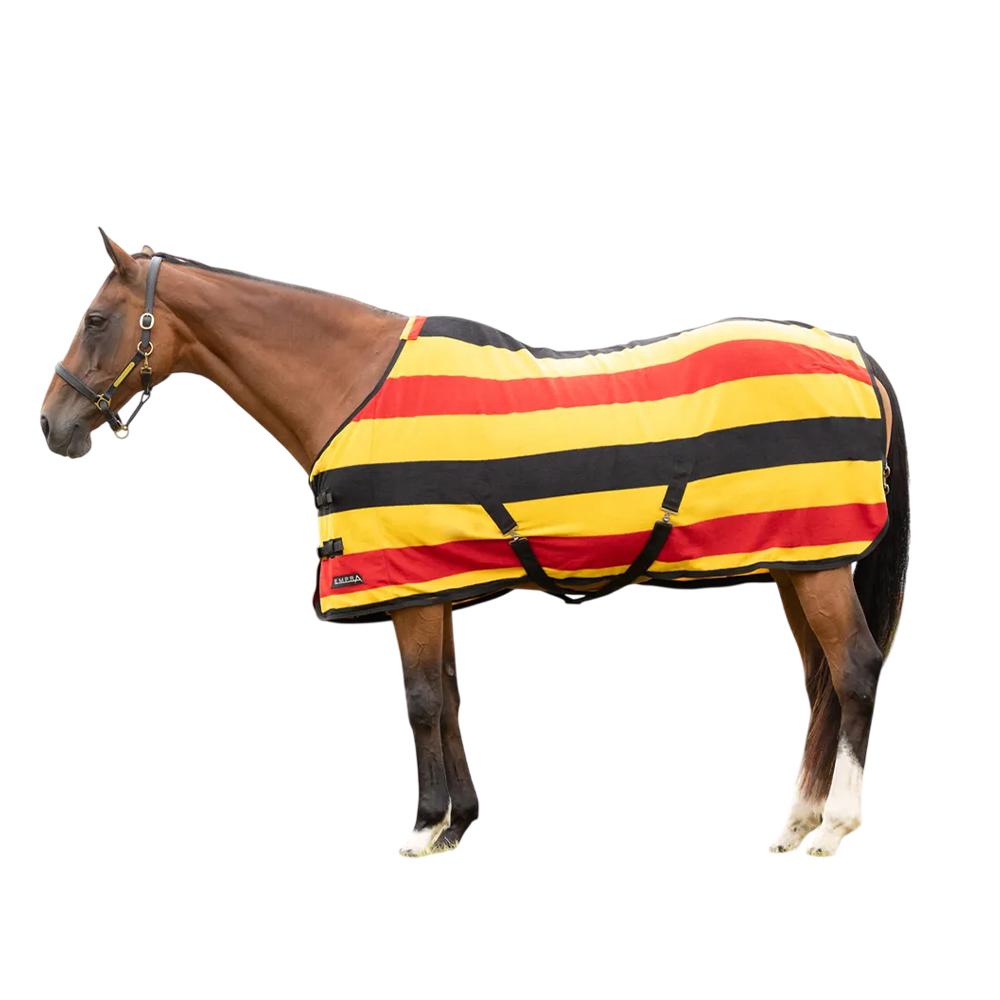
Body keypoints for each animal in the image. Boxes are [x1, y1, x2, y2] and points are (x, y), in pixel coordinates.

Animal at [40, 231, 909, 857]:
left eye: (95, 319)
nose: (52, 424)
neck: (352, 384)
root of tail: (853, 350)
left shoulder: (406, 591)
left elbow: (421, 700)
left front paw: (425, 827)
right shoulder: (434, 585)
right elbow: (450, 696)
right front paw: (459, 822)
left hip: (819, 569)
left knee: (854, 670)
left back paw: (835, 826)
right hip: (797, 566)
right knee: (822, 682)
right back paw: (797, 821)